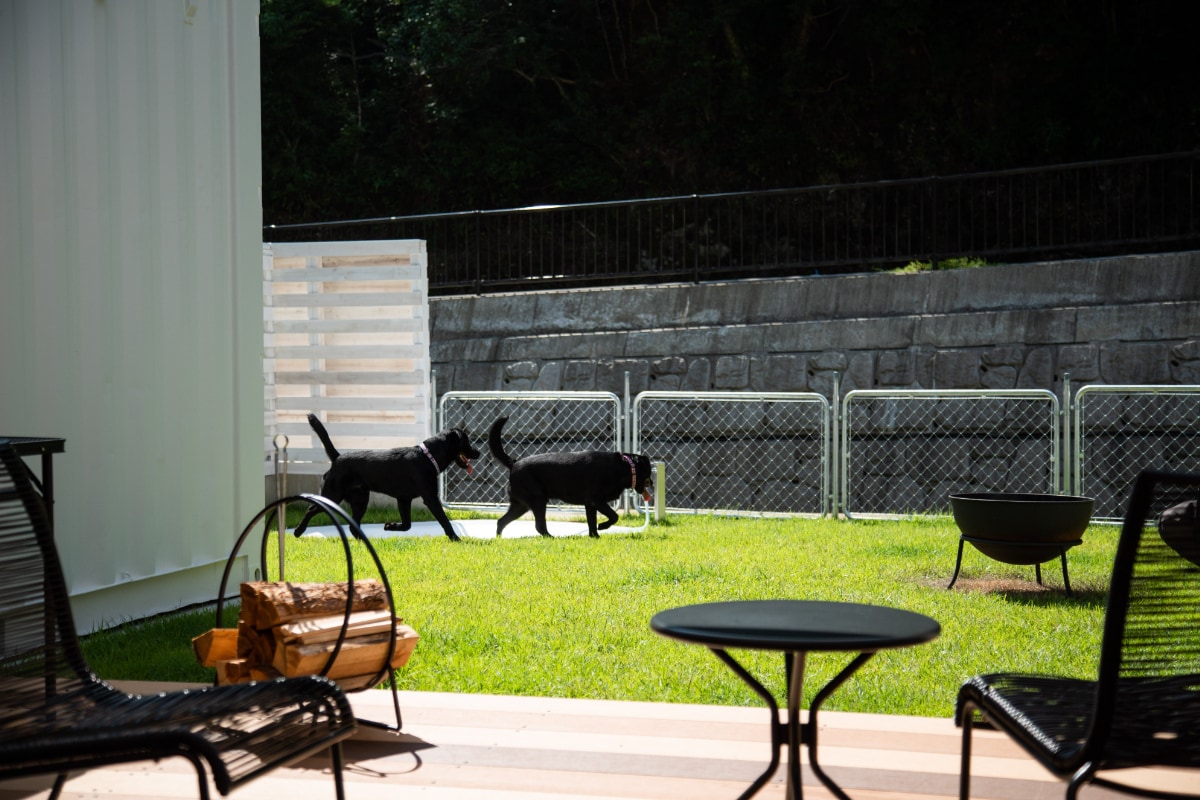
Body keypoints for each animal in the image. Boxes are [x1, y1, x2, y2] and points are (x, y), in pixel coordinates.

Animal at [294, 413, 480, 541]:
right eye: (466, 441)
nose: (478, 452)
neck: (428, 456)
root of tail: (337, 458)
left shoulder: (403, 499)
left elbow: (407, 525)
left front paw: (390, 526)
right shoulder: (430, 498)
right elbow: (444, 520)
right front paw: (456, 538)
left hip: (360, 500)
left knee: (354, 526)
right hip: (333, 495)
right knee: (311, 508)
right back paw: (298, 531)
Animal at [488, 416, 653, 538]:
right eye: (648, 472)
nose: (651, 482)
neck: (624, 466)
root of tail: (514, 463)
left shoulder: (590, 503)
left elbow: (591, 522)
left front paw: (595, 537)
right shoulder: (596, 499)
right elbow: (614, 516)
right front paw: (602, 526)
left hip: (520, 505)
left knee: (501, 521)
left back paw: (499, 539)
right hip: (537, 500)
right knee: (539, 526)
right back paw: (552, 538)